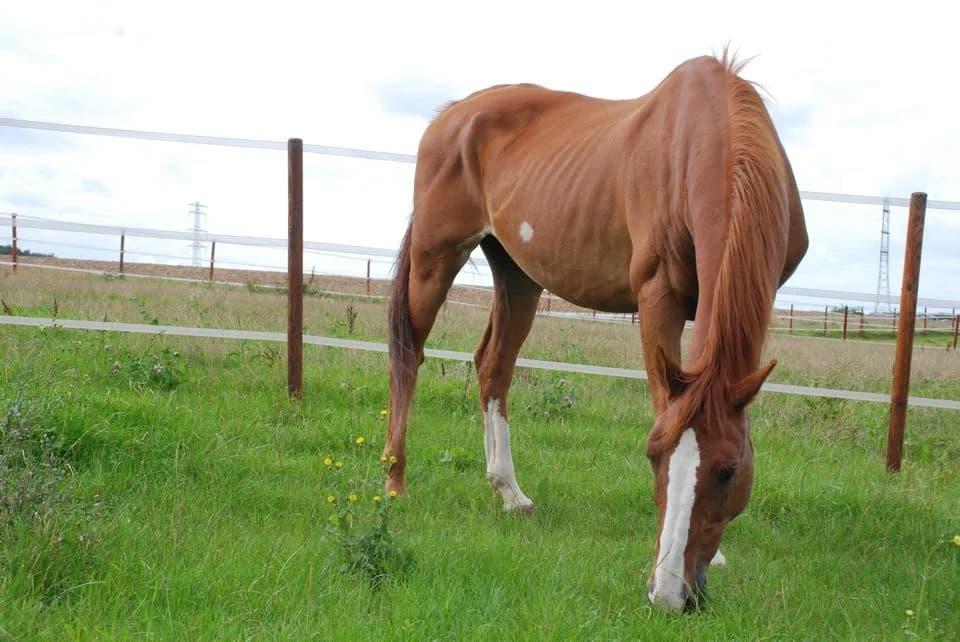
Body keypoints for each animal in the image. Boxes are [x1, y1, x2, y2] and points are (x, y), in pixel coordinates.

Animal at [381, 51, 808, 610]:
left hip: (518, 274)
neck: (709, 135)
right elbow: (662, 401)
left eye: (729, 470)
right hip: (436, 257)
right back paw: (395, 481)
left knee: (493, 365)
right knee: (409, 354)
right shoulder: (658, 294)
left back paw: (510, 493)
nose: (668, 595)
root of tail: (449, 116)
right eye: (652, 457)